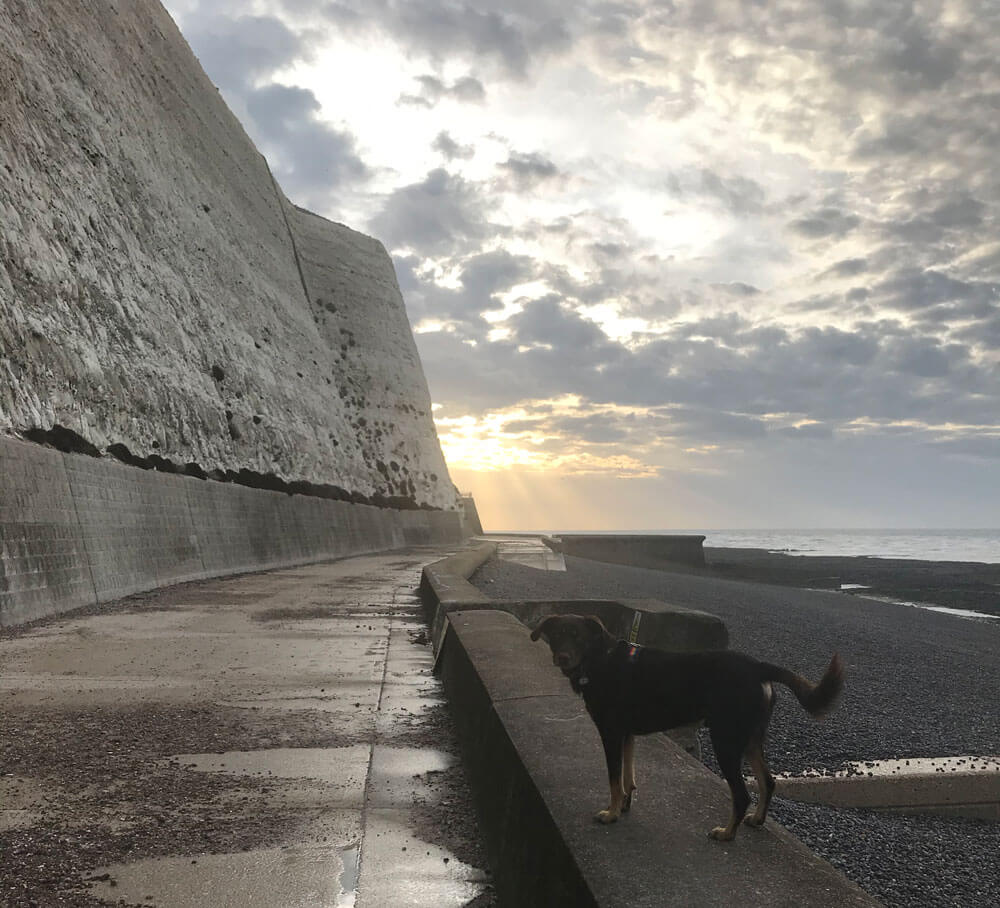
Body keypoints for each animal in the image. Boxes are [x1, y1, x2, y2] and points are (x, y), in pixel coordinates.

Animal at [532, 612, 844, 840]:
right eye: (557, 635)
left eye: (578, 637)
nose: (562, 657)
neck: (601, 659)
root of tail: (758, 667)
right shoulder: (627, 734)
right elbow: (627, 776)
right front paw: (624, 805)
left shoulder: (610, 733)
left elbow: (613, 778)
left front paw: (611, 813)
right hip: (750, 738)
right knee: (767, 781)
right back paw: (756, 820)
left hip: (725, 740)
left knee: (741, 794)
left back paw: (727, 833)